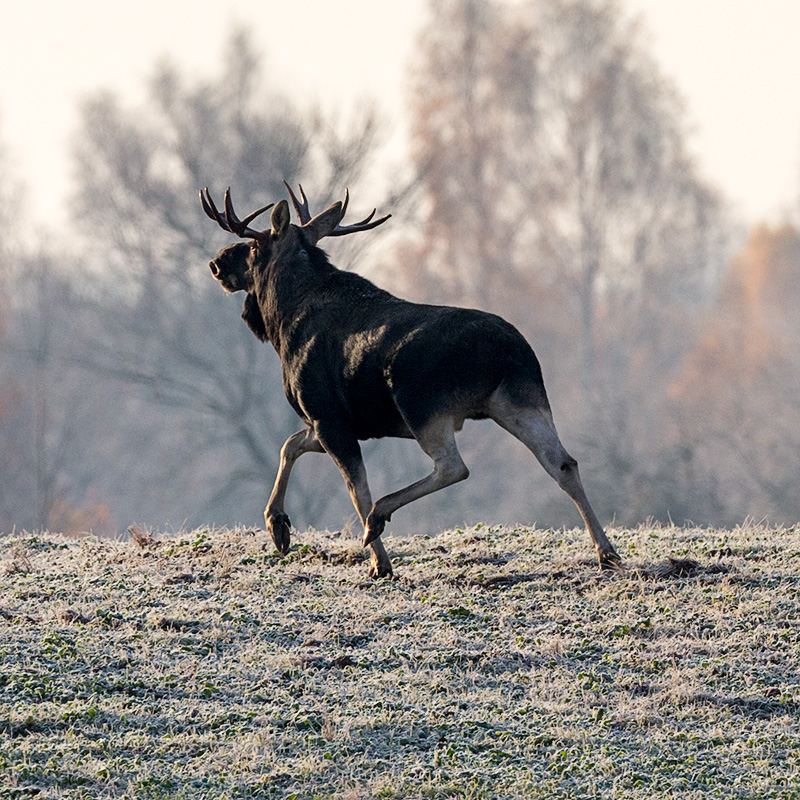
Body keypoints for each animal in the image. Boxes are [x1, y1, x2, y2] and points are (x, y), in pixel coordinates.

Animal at [198, 184, 620, 580]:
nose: (217, 262)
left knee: (453, 467)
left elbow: (355, 488)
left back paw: (378, 518)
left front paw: (379, 562)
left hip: (421, 403)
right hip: (519, 401)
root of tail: (508, 350)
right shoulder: (339, 422)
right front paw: (278, 527)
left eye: (255, 244)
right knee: (563, 463)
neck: (280, 324)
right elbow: (290, 446)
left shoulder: (326, 413)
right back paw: (607, 553)